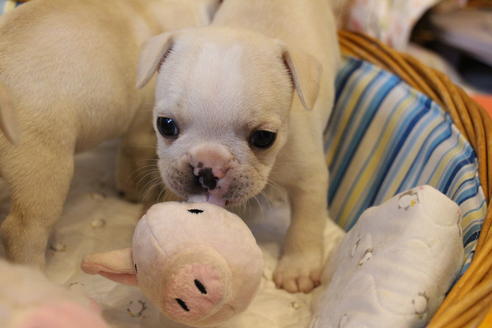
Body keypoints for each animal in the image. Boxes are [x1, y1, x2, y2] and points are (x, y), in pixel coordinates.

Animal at [136, 0, 340, 292]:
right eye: (165, 125)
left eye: (264, 137)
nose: (207, 168)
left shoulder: (309, 178)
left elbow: (307, 223)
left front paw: (299, 268)